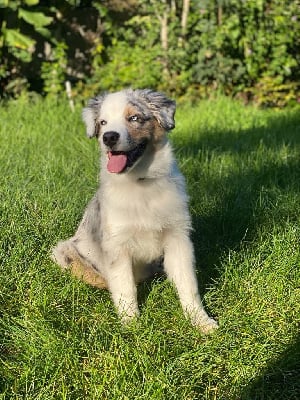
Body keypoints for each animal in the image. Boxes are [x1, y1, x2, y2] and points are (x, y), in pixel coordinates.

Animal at [52, 89, 218, 332]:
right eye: (103, 122)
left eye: (134, 118)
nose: (108, 137)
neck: (141, 183)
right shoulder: (117, 246)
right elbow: (125, 288)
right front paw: (131, 327)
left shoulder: (178, 237)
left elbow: (188, 284)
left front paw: (201, 321)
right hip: (64, 251)